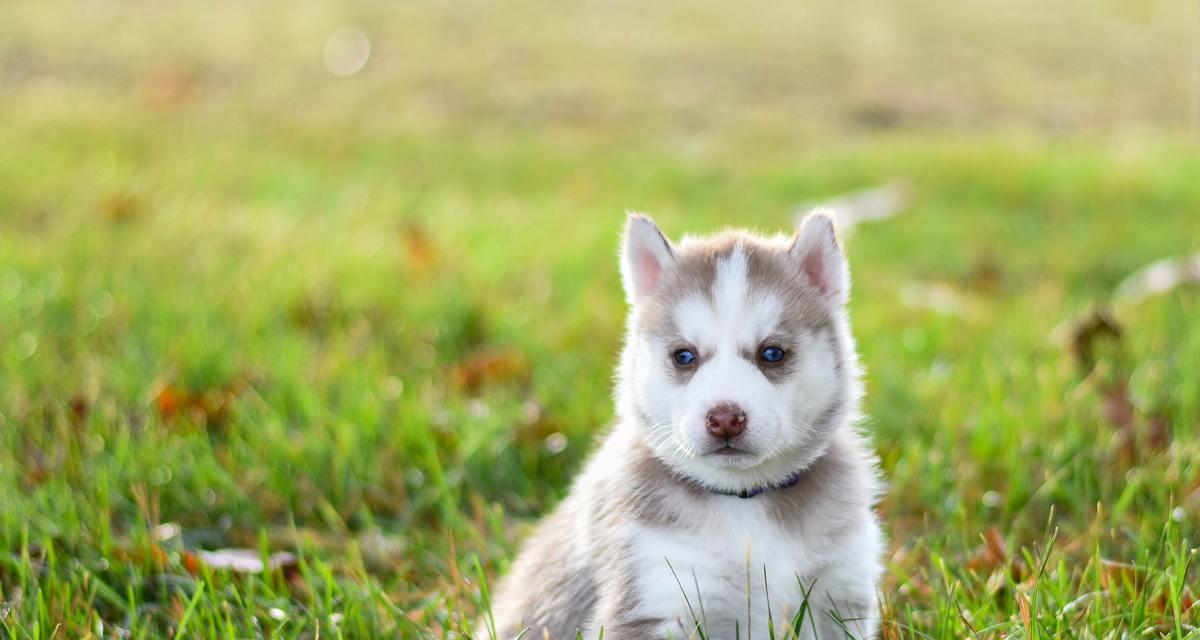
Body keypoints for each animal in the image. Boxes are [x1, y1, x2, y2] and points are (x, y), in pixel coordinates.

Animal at [484, 213, 883, 638]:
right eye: (685, 356)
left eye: (772, 353)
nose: (725, 418)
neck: (744, 501)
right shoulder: (657, 593)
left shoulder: (839, 591)